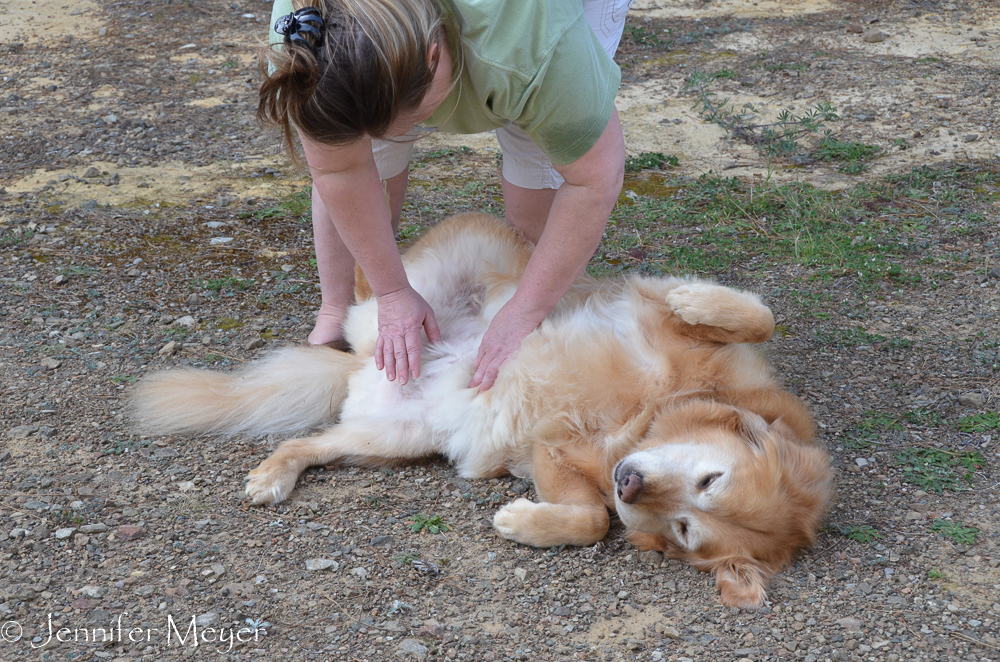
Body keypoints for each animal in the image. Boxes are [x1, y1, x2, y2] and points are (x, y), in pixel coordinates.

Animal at [137, 214, 832, 612]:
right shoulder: (659, 316)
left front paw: (524, 521)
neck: (652, 411)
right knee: (384, 282)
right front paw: (699, 299)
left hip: (392, 438)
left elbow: (589, 520)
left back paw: (272, 476)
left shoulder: (556, 455)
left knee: (308, 443)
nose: (630, 483)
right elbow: (757, 314)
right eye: (712, 480)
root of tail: (367, 364)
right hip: (472, 248)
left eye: (686, 529)